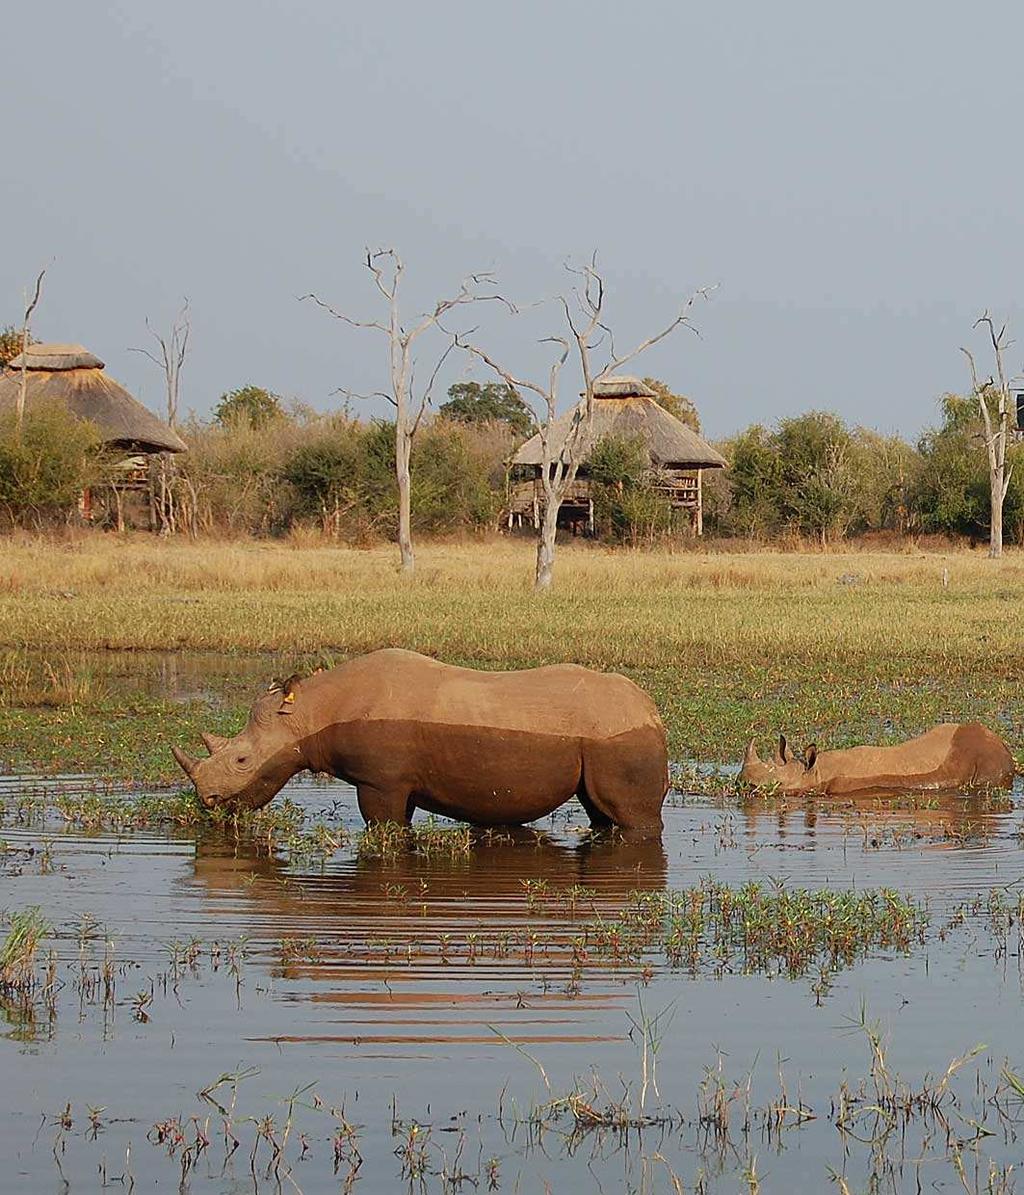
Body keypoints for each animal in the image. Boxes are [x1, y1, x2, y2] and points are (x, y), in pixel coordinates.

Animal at [172, 654, 669, 831]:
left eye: (241, 760)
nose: (208, 802)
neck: (311, 713)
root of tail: (651, 708)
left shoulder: (380, 780)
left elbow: (384, 827)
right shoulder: (398, 781)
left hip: (618, 737)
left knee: (631, 818)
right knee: (599, 813)